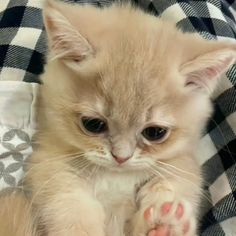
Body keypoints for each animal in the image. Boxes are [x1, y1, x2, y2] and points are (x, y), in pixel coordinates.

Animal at [0, 0, 235, 236]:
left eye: (155, 132)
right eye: (93, 124)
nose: (121, 158)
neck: (115, 177)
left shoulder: (181, 167)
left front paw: (165, 222)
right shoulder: (51, 169)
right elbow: (72, 211)